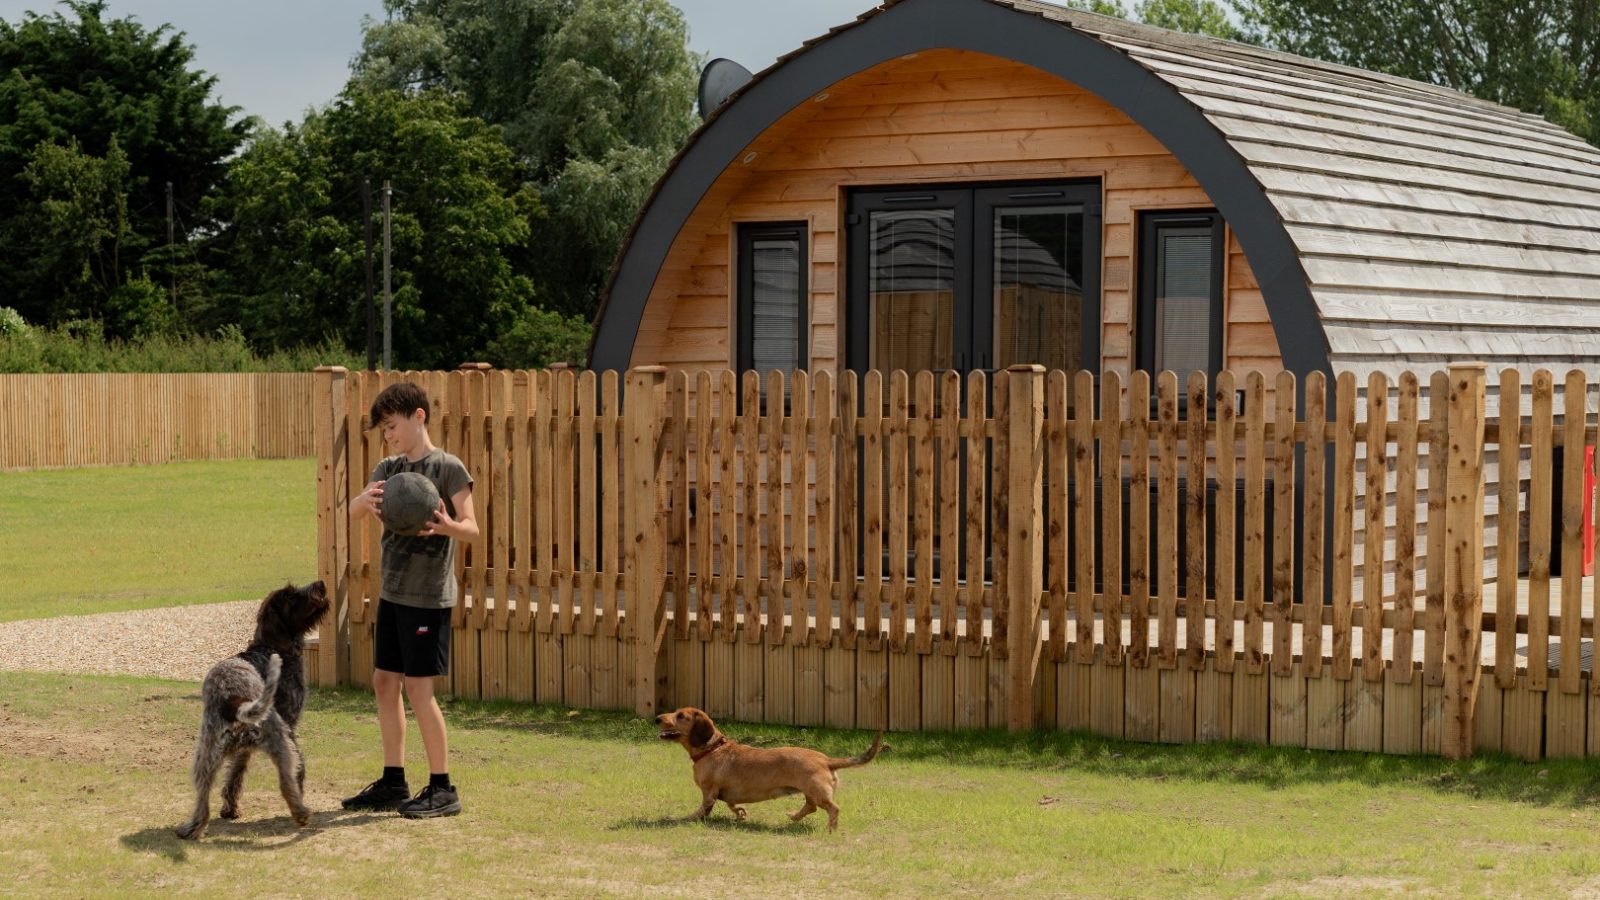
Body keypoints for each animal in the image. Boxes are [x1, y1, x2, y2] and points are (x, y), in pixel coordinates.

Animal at [176, 576, 331, 839]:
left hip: (205, 756)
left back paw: (192, 828)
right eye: (290, 595)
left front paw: (230, 808)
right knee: (286, 780)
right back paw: (299, 811)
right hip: (280, 739)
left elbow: (235, 773)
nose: (320, 584)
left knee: (202, 797)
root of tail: (232, 698)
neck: (270, 647)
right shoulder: (290, 724)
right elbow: (299, 769)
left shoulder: (243, 749)